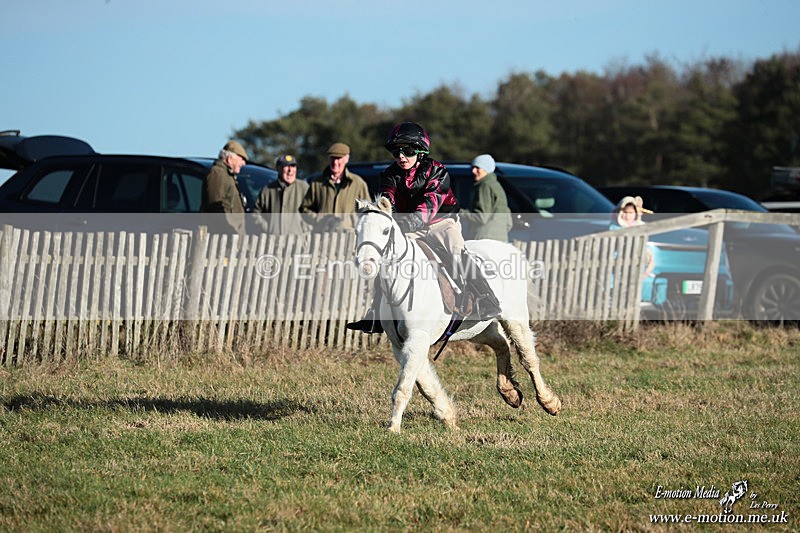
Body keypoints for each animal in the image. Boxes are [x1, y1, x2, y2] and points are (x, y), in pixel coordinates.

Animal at [354, 197, 561, 433]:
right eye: (357, 231)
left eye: (385, 230)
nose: (366, 265)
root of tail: (509, 248)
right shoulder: (402, 345)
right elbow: (425, 383)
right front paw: (447, 415)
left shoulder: (417, 339)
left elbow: (404, 387)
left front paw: (393, 428)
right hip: (476, 329)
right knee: (501, 344)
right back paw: (509, 392)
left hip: (514, 318)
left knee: (528, 358)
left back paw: (549, 402)